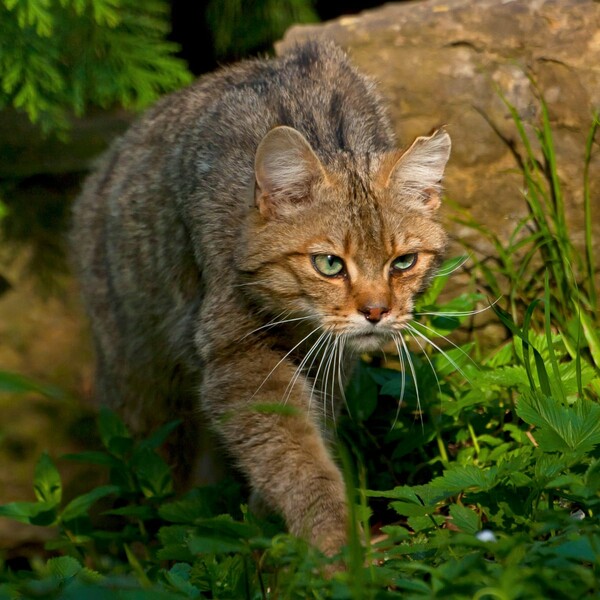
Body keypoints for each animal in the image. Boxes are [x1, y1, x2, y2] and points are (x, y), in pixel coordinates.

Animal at [70, 42, 450, 556]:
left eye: (404, 262)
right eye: (329, 264)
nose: (376, 312)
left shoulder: (325, 363)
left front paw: (270, 527)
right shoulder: (239, 358)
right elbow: (295, 458)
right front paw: (334, 542)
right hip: (141, 393)